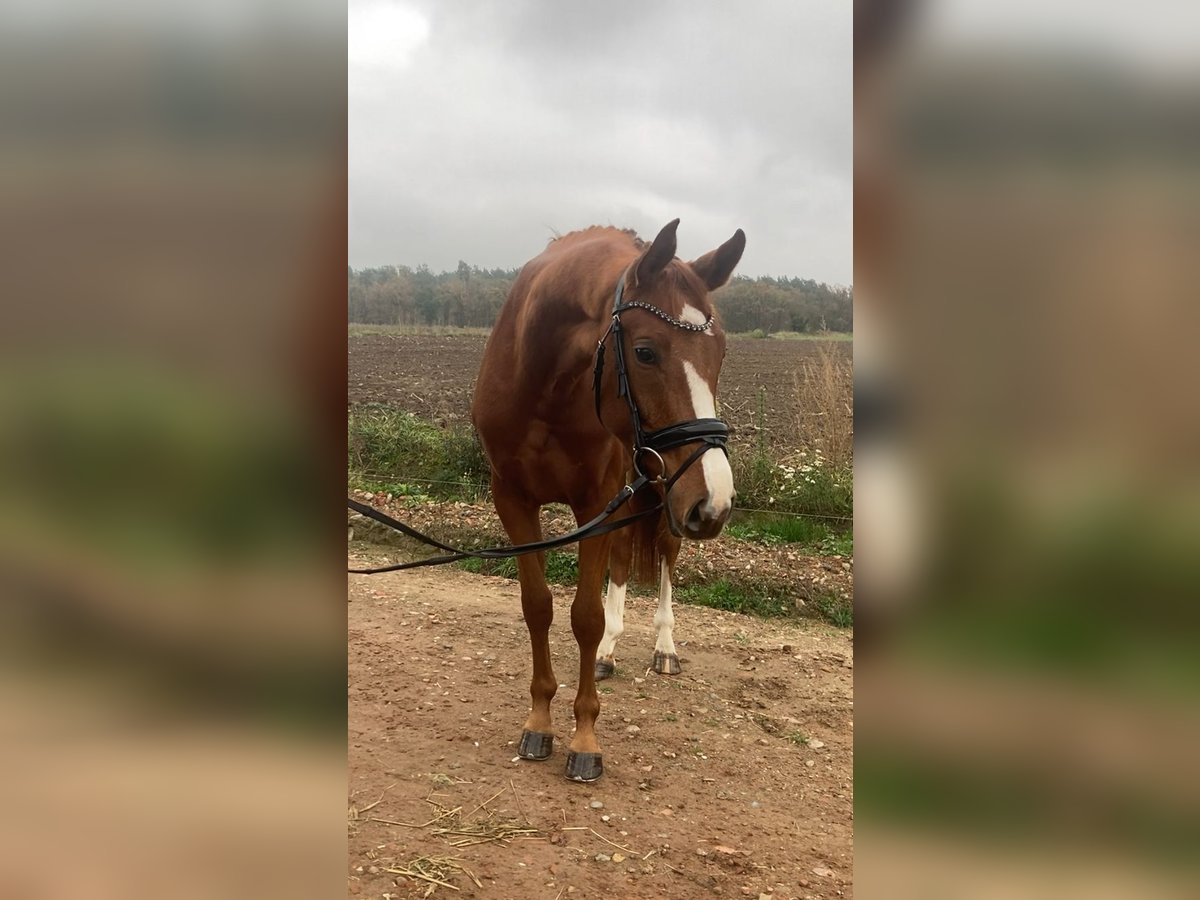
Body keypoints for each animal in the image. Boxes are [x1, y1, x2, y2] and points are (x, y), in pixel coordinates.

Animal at [472, 220, 744, 782]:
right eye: (645, 352)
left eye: (722, 353)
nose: (716, 501)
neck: (545, 386)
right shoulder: (514, 502)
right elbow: (539, 607)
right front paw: (539, 721)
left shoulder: (597, 502)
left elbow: (585, 616)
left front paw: (584, 739)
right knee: (620, 563)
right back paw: (610, 653)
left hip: (665, 496)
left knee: (665, 558)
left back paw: (664, 647)